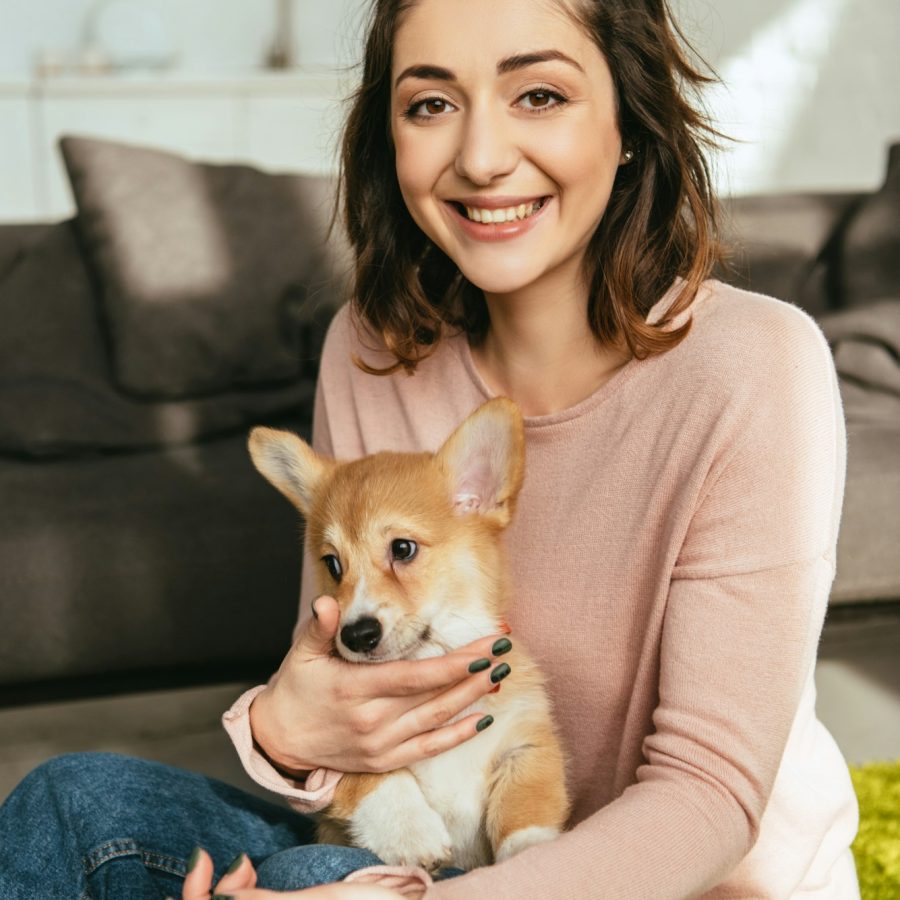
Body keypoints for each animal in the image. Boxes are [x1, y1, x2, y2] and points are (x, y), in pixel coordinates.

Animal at [250, 400, 568, 872]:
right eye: (333, 564)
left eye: (402, 549)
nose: (357, 635)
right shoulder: (339, 752)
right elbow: (373, 775)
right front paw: (410, 831)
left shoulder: (526, 747)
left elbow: (526, 811)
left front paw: (531, 855)